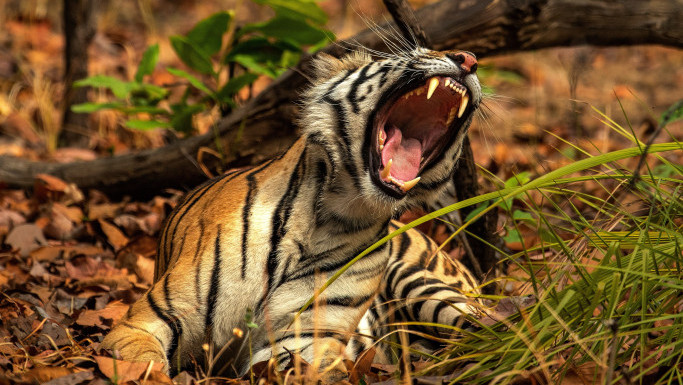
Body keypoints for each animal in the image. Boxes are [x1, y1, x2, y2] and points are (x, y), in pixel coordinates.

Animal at [104, 47, 484, 378]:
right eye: (418, 51)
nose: (468, 58)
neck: (339, 213)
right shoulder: (148, 320)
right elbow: (146, 365)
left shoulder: (309, 339)